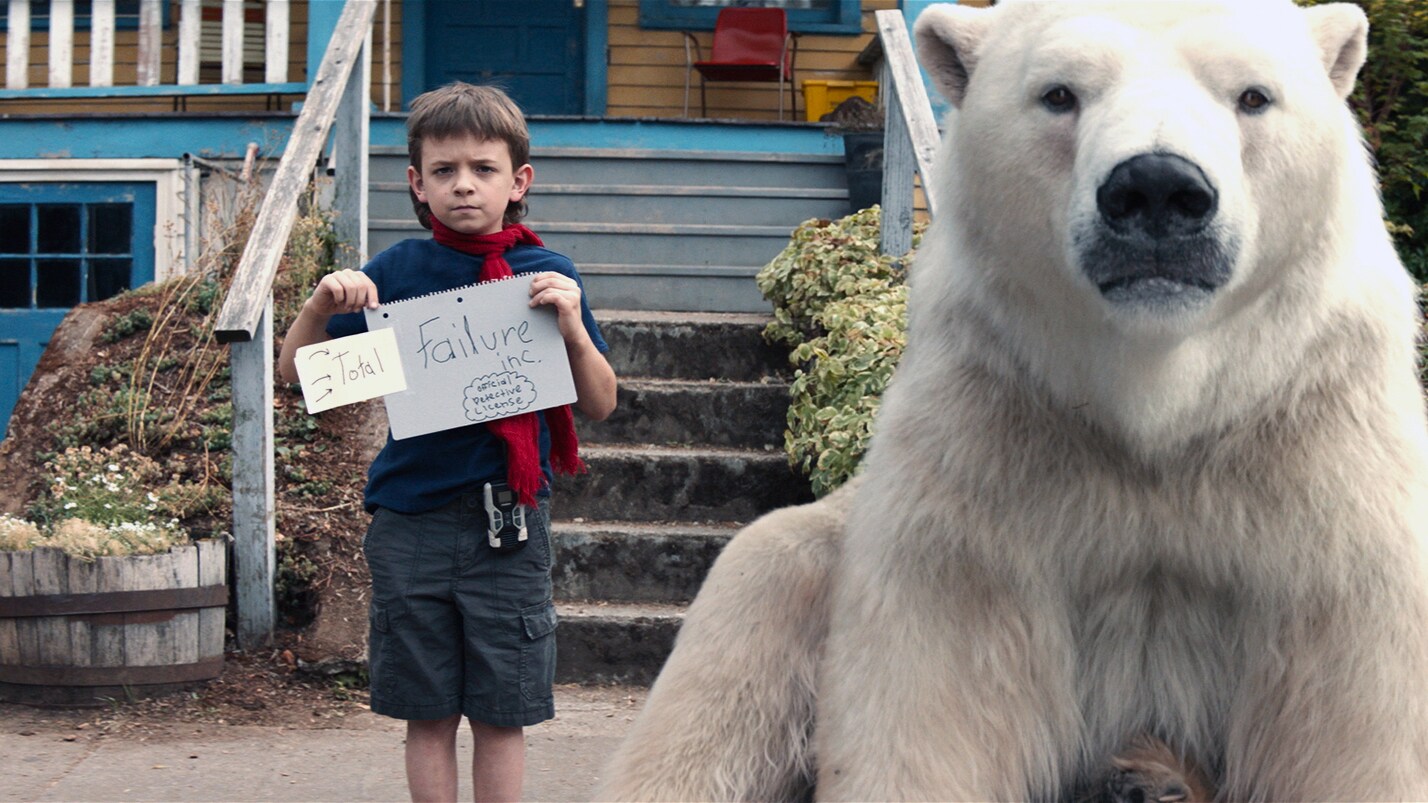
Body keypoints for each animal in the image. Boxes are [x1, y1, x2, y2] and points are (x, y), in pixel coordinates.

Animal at [596, 0, 1428, 794]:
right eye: (1059, 93)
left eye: (1254, 95)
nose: (1158, 187)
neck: (1158, 400)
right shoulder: (987, 445)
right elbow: (933, 699)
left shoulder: (1316, 451)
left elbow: (1359, 714)